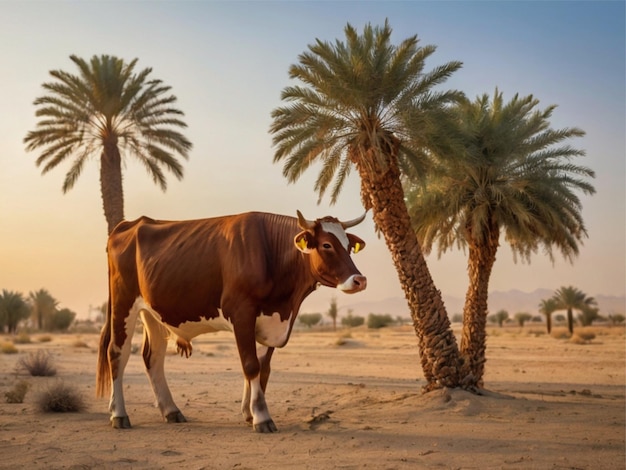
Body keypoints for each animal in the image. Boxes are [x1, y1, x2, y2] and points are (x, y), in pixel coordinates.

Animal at [96, 211, 366, 432]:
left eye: (349, 246)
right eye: (327, 244)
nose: (359, 280)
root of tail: (128, 224)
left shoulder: (269, 320)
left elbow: (262, 367)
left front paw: (250, 412)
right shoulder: (242, 313)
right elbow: (250, 365)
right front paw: (261, 417)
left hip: (154, 313)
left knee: (153, 358)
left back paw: (171, 410)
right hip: (123, 303)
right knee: (117, 353)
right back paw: (119, 414)